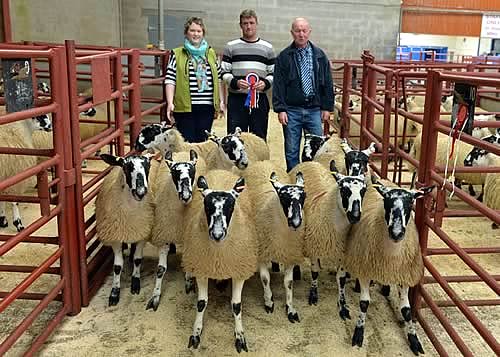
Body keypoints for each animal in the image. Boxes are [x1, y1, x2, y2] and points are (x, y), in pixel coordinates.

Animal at [94, 152, 159, 304]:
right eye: (126, 167)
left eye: (147, 166)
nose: (141, 192)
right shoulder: (116, 237)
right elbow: (117, 266)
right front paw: (115, 292)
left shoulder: (142, 232)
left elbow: (138, 260)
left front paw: (135, 283)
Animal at [146, 149, 206, 310]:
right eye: (174, 173)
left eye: (192, 172)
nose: (186, 196)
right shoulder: (165, 234)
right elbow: (160, 269)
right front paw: (155, 296)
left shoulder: (188, 236)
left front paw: (189, 281)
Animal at [182, 170, 256, 354]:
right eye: (207, 206)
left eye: (231, 207)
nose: (217, 234)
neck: (218, 256)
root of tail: (220, 171)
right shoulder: (202, 268)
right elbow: (201, 303)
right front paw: (196, 334)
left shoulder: (239, 271)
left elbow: (236, 305)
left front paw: (240, 336)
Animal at [344, 181, 434, 354]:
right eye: (386, 201)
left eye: (411, 202)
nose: (396, 233)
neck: (391, 256)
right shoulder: (365, 269)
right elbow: (364, 303)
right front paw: (358, 332)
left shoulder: (404, 275)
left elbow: (406, 310)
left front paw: (414, 340)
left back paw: (385, 288)